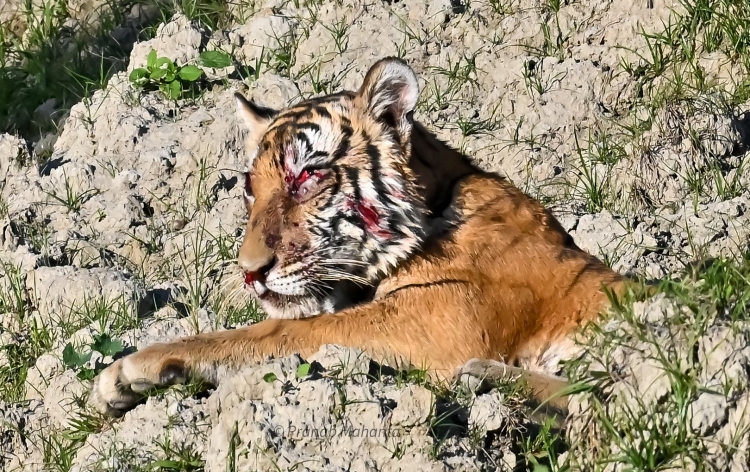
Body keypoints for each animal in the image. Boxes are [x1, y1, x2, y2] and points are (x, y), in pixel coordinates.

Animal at [91, 58, 632, 416]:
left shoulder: (431, 321)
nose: (248, 272)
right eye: (249, 188)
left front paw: (129, 368)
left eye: (308, 177)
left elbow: (282, 331)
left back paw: (488, 379)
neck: (436, 207)